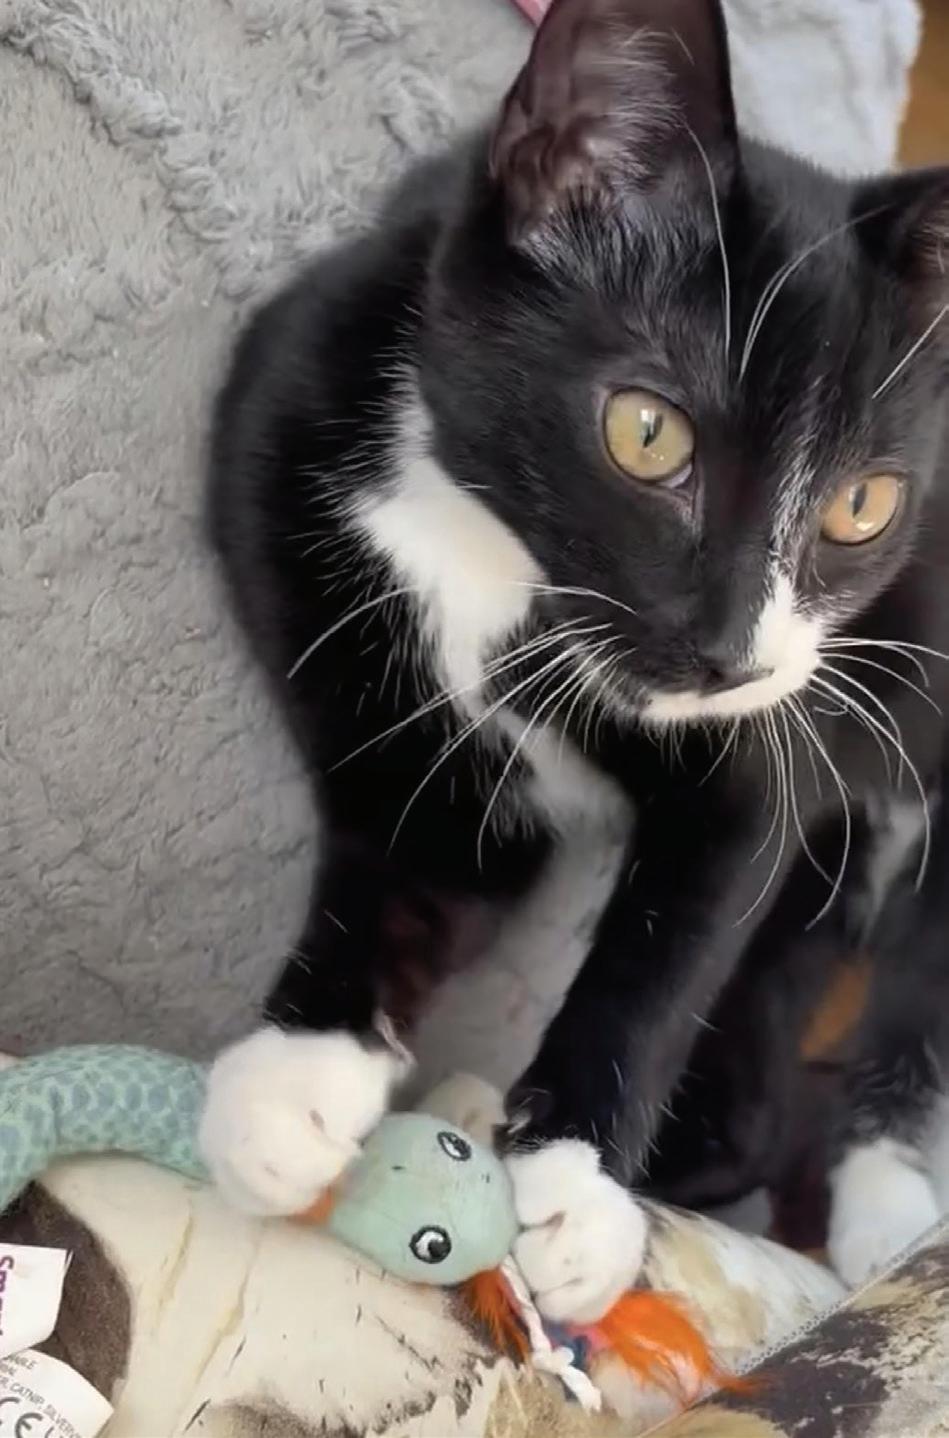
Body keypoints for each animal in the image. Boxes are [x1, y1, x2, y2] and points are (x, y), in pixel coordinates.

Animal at [198, 0, 949, 1314]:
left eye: (863, 503)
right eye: (646, 432)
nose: (729, 654)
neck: (502, 565)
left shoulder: (765, 735)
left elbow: (673, 937)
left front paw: (574, 1178)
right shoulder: (283, 455)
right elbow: (406, 854)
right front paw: (294, 1072)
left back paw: (886, 1205)